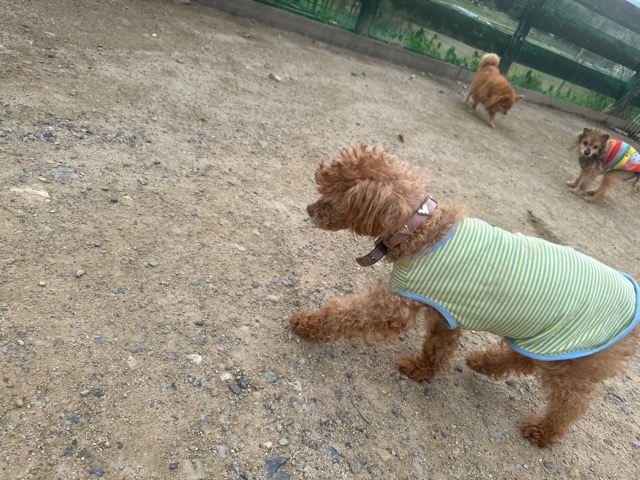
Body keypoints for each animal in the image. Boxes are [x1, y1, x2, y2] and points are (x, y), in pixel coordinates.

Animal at [290, 144, 639, 448]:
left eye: (333, 192)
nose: (309, 209)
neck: (420, 229)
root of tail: (633, 297)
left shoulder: (394, 305)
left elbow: (346, 314)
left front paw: (307, 323)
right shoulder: (444, 312)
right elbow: (438, 347)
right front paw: (421, 370)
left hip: (574, 357)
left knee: (571, 402)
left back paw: (543, 432)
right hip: (546, 341)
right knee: (522, 359)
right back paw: (483, 363)